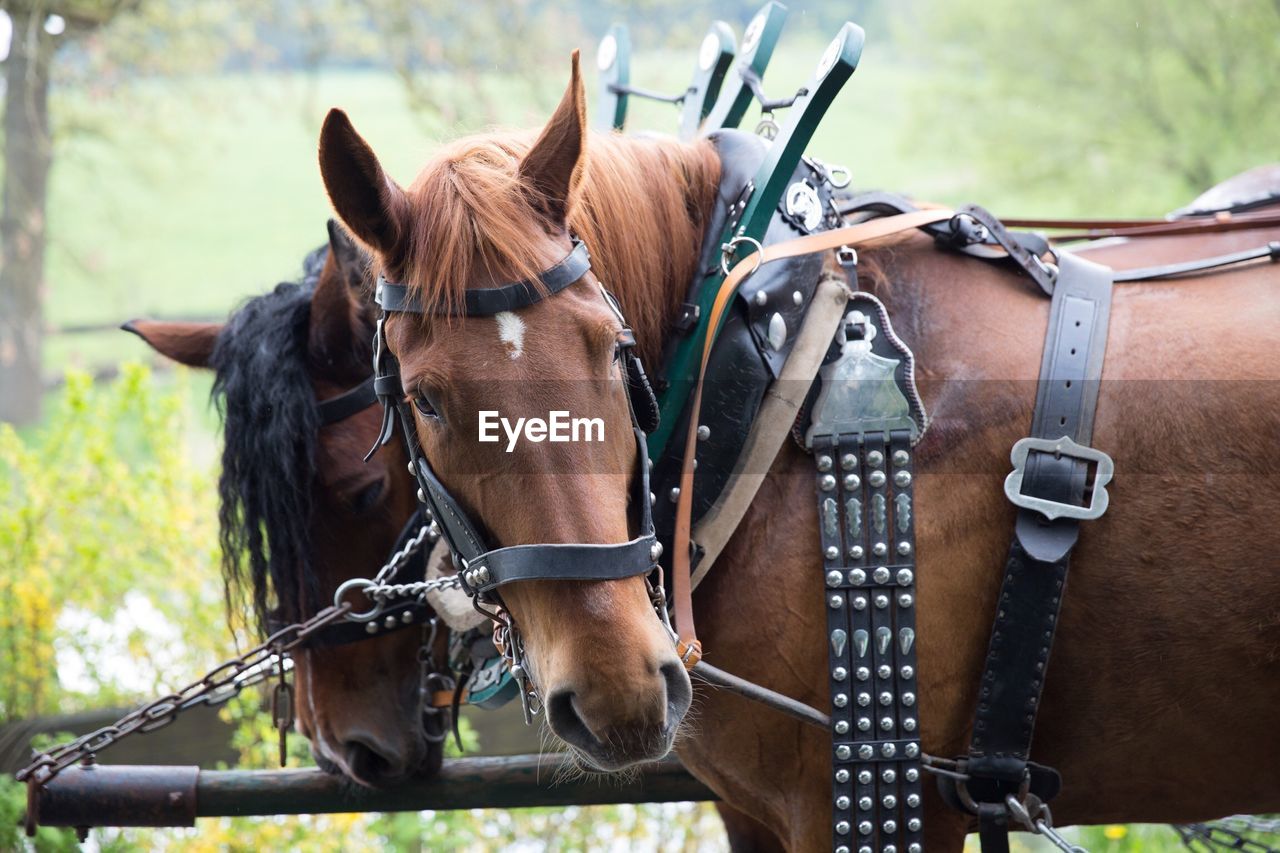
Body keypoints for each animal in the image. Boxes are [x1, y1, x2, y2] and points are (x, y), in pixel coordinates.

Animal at [317, 56, 1280, 845]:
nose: (619, 689)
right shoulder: (753, 809)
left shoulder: (873, 801)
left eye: (613, 352)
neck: (770, 367)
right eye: (425, 398)